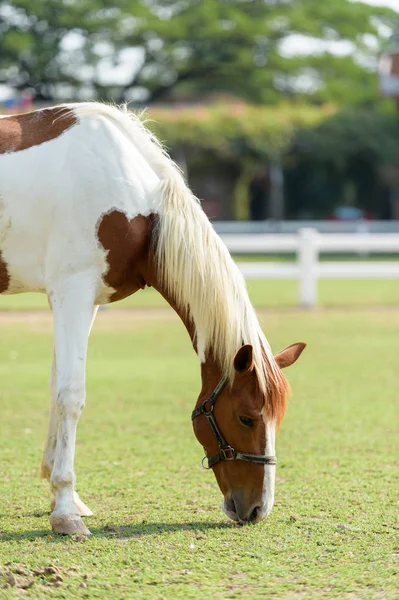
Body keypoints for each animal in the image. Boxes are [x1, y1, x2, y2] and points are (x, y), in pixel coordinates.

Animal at [0, 104, 306, 536]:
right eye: (247, 418)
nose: (258, 509)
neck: (137, 204)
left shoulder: (82, 300)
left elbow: (56, 388)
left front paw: (63, 494)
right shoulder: (73, 291)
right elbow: (71, 395)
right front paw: (64, 509)